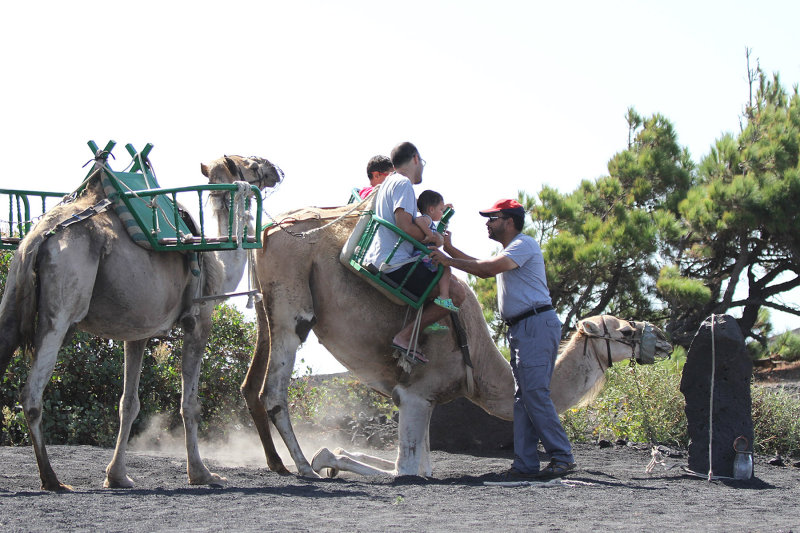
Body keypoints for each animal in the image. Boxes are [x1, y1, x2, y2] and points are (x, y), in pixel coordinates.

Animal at [0, 152, 282, 488]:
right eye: (251, 164)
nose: (276, 170)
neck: (217, 261)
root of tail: (40, 238)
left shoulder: (137, 332)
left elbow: (128, 403)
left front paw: (117, 476)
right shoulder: (198, 321)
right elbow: (190, 404)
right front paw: (201, 473)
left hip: (14, 294)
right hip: (61, 307)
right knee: (31, 391)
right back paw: (52, 479)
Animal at [241, 205, 672, 478]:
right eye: (625, 331)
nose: (666, 342)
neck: (477, 366)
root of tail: (268, 230)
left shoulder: (425, 400)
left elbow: (423, 466)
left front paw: (334, 456)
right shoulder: (416, 393)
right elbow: (406, 470)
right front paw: (325, 457)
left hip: (266, 306)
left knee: (253, 382)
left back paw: (280, 463)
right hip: (293, 307)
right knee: (274, 390)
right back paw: (302, 466)